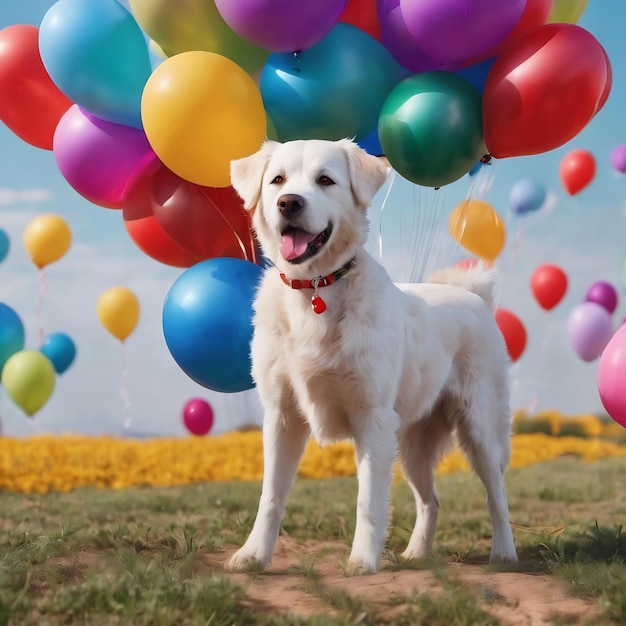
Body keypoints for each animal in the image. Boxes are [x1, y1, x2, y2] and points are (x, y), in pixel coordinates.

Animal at [227, 139, 516, 572]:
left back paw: (505, 553)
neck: (315, 290)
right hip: (412, 446)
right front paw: (253, 555)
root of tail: (473, 294)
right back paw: (417, 553)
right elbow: (270, 496)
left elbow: (369, 500)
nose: (288, 203)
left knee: (496, 495)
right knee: (431, 500)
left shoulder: (372, 418)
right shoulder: (282, 415)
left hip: (479, 429)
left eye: (325, 180)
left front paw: (363, 561)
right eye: (277, 180)